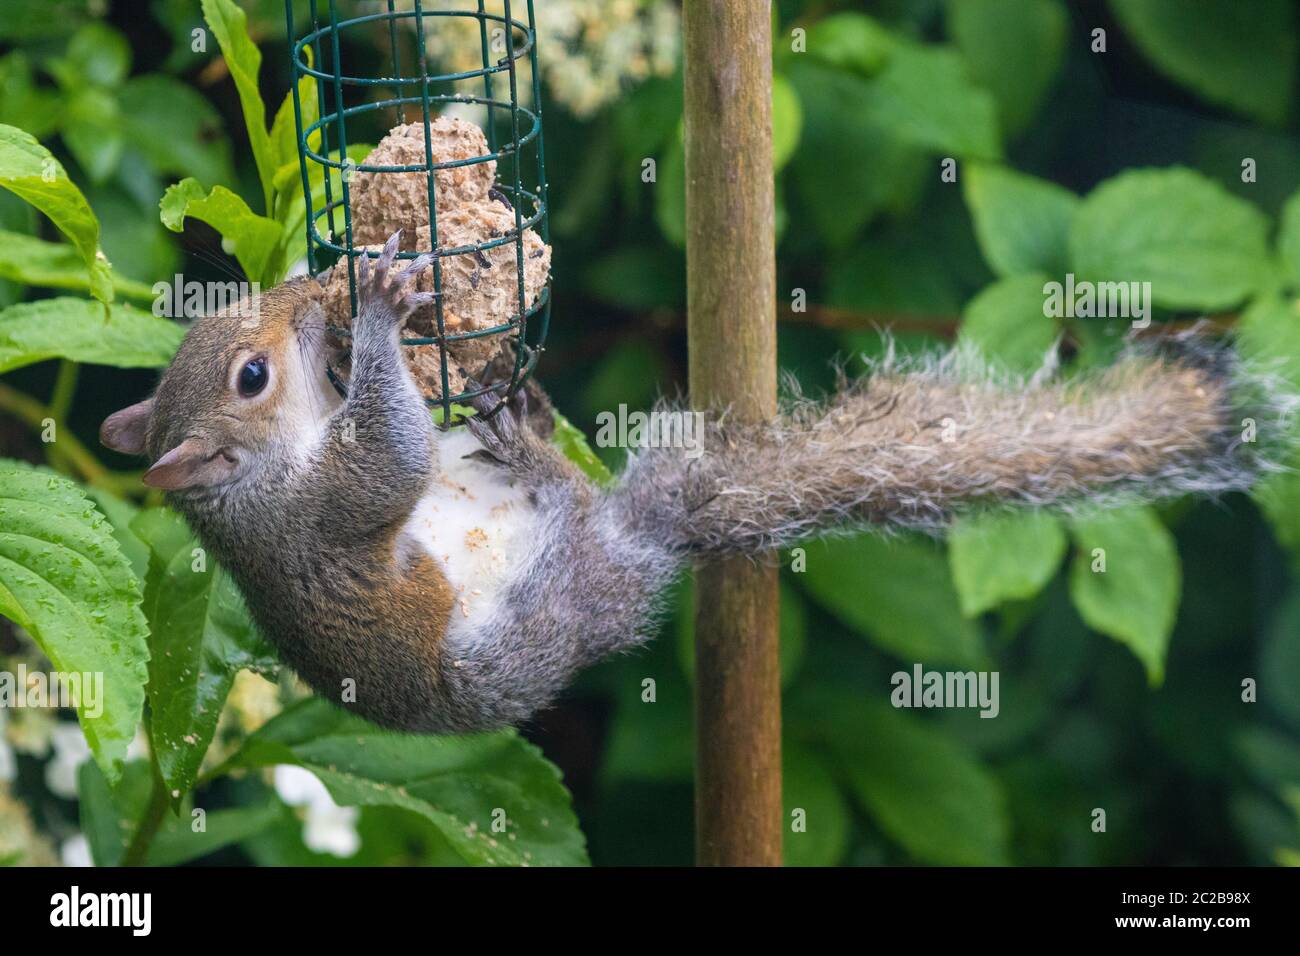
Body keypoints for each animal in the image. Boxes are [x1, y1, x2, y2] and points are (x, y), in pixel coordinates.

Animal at [100, 232, 1292, 734]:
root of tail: (638, 539)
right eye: (252, 377)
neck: (261, 477)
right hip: (534, 619)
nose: (309, 297)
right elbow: (389, 457)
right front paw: (385, 315)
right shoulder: (321, 508)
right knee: (569, 527)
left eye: (243, 324)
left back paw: (521, 430)